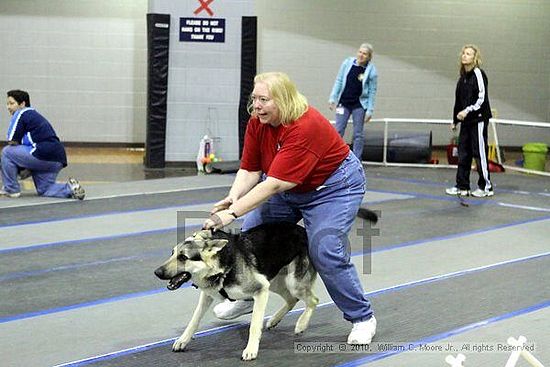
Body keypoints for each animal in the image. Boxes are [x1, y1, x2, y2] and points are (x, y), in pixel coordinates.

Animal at [155, 208, 380, 360]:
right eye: (172, 254)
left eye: (183, 257)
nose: (157, 272)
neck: (222, 263)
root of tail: (304, 232)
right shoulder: (208, 295)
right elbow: (193, 321)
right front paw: (183, 340)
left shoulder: (260, 290)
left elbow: (254, 325)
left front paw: (251, 350)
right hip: (276, 282)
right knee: (292, 299)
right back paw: (274, 320)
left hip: (291, 281)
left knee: (312, 299)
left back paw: (301, 324)